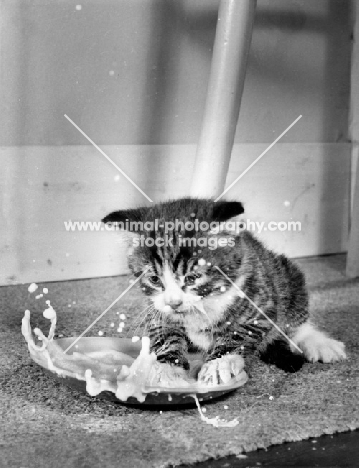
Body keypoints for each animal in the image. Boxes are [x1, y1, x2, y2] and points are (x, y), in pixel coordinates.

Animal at [102, 197, 348, 384]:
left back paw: (319, 342)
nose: (174, 303)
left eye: (192, 278)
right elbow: (166, 335)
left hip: (285, 274)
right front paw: (167, 367)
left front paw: (219, 364)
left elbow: (237, 335)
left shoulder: (261, 302)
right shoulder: (157, 311)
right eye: (154, 279)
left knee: (294, 320)